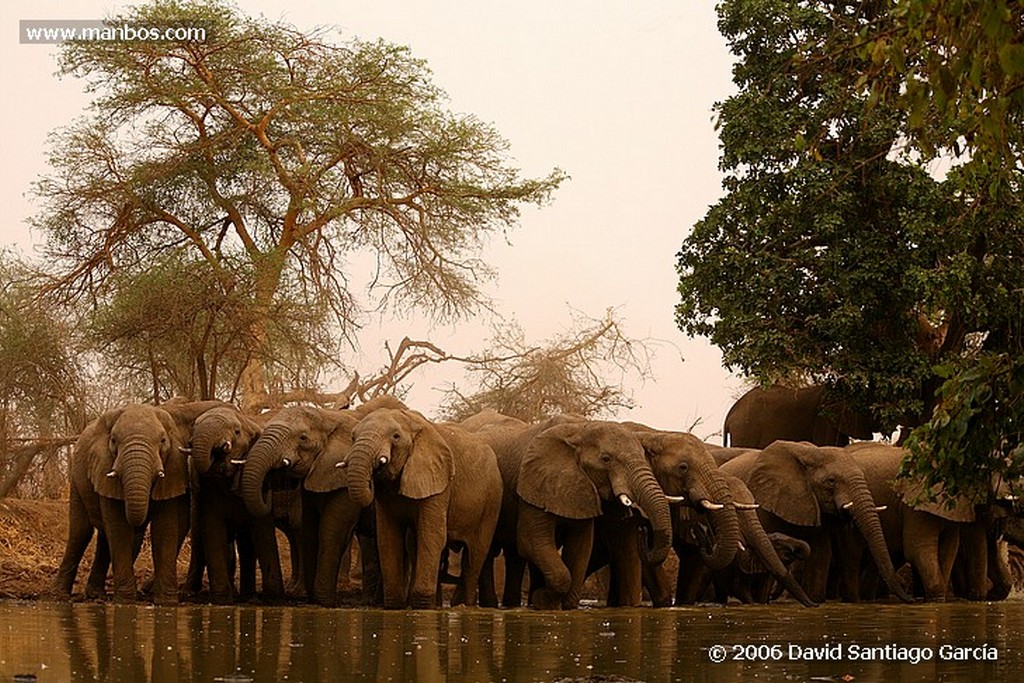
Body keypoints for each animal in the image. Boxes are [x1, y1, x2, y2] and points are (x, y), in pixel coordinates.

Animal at [54, 401, 224, 602]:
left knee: (105, 536)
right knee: (81, 532)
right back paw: (59, 595)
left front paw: (166, 601)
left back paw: (96, 594)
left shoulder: (174, 467)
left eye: (163, 441)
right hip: (76, 481)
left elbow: (165, 526)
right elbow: (119, 527)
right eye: (113, 441)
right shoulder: (104, 466)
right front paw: (126, 601)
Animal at [346, 405, 501, 610]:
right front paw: (395, 606)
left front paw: (421, 605)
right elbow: (388, 537)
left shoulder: (439, 481)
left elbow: (432, 535)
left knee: (475, 556)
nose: (373, 473)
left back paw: (465, 606)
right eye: (353, 437)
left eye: (396, 436)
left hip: (491, 502)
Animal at [720, 438, 913, 602]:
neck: (811, 453)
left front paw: (816, 601)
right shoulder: (763, 500)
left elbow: (820, 555)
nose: (910, 600)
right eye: (831, 481)